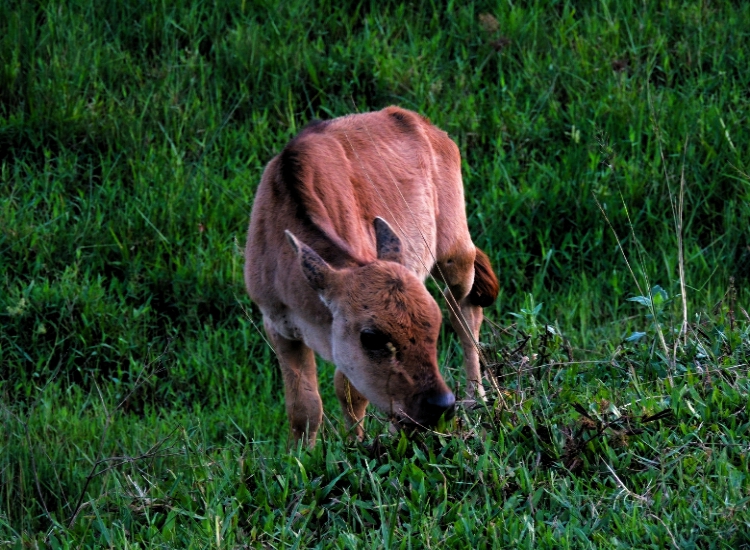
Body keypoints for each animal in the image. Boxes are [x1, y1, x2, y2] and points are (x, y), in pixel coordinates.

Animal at [247, 105, 500, 446]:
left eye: (433, 326)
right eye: (372, 337)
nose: (441, 405)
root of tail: (428, 127)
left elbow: (349, 394)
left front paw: (358, 446)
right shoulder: (278, 324)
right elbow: (305, 409)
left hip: (455, 254)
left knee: (465, 315)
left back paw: (477, 400)